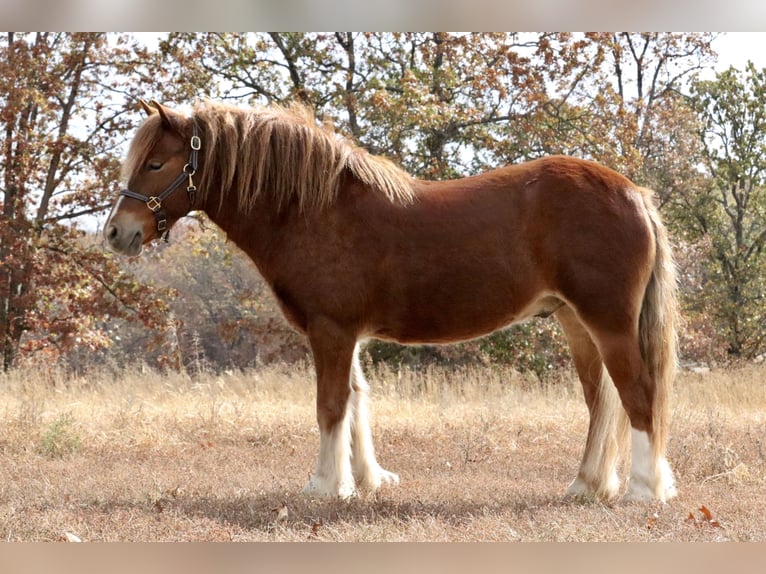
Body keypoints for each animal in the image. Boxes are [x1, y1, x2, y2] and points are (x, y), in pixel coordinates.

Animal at [100, 100, 680, 504]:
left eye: (156, 163)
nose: (115, 233)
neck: (314, 209)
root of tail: (634, 194)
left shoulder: (331, 329)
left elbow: (332, 405)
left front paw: (325, 486)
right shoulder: (346, 333)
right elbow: (359, 399)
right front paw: (368, 479)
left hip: (608, 322)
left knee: (639, 394)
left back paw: (644, 491)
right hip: (575, 323)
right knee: (602, 401)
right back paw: (588, 486)